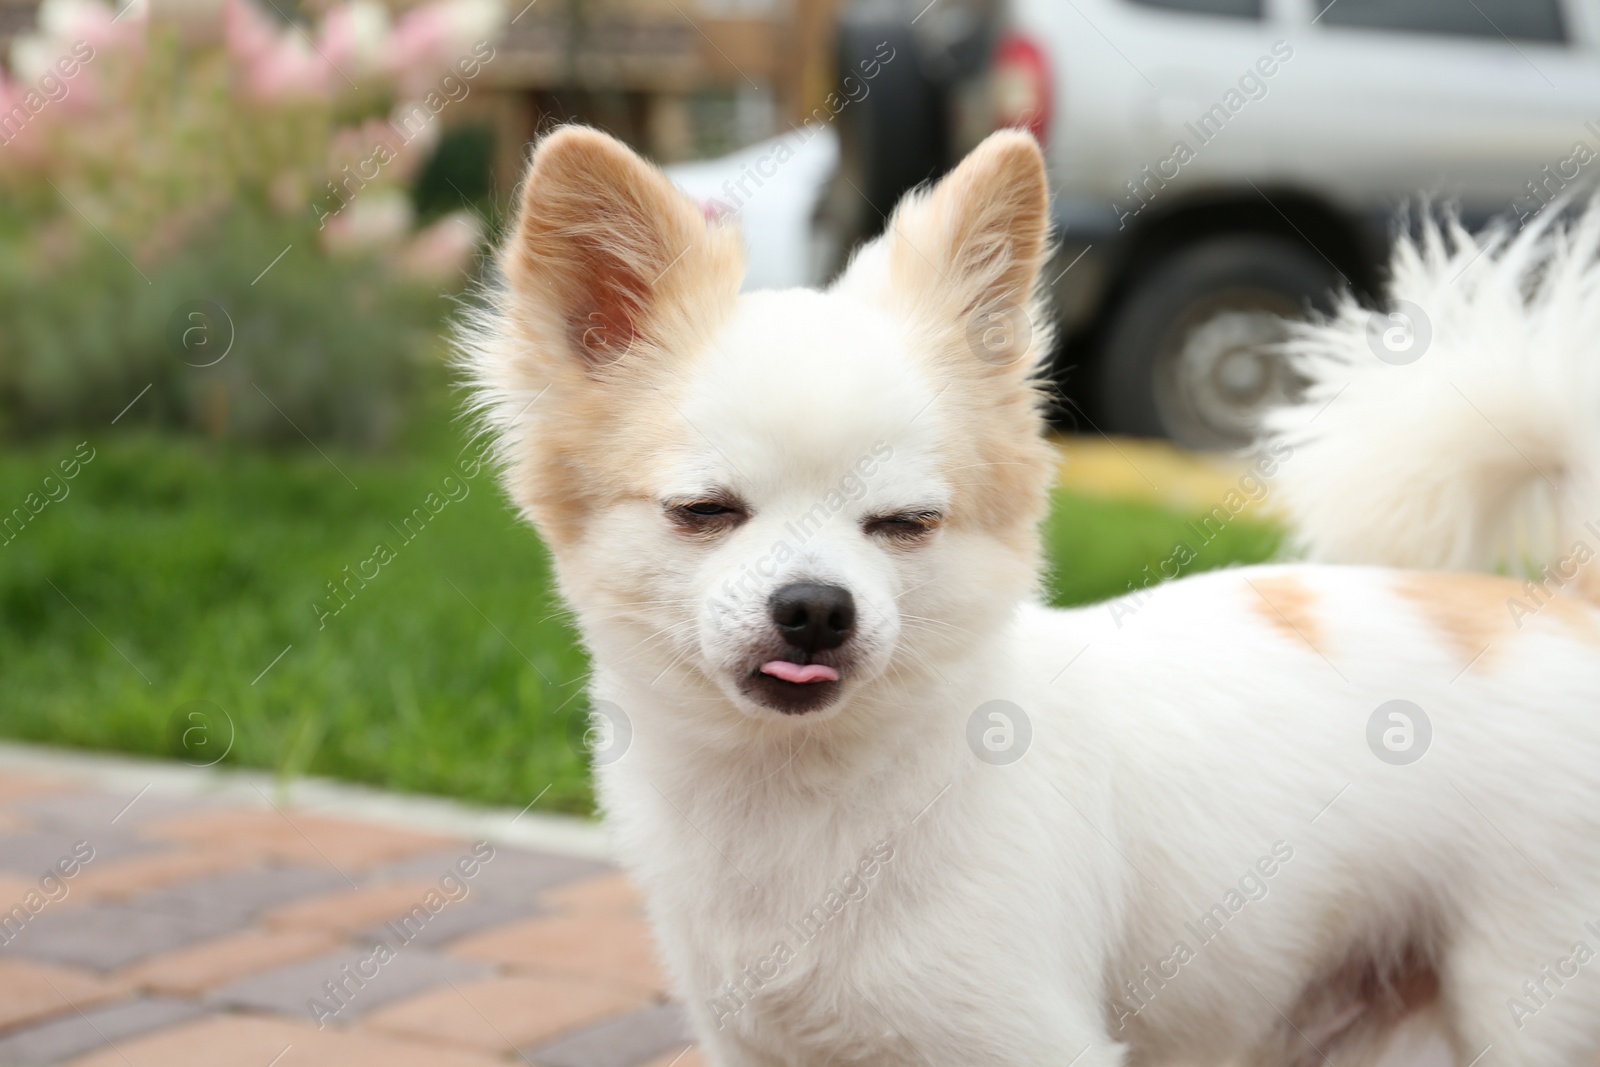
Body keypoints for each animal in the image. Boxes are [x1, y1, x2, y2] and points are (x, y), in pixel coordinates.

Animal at [464, 127, 1600, 1067]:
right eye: (704, 511)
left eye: (904, 524)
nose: (816, 605)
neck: (798, 796)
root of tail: (1569, 606)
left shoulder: (1029, 1039)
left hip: (1529, 1003)